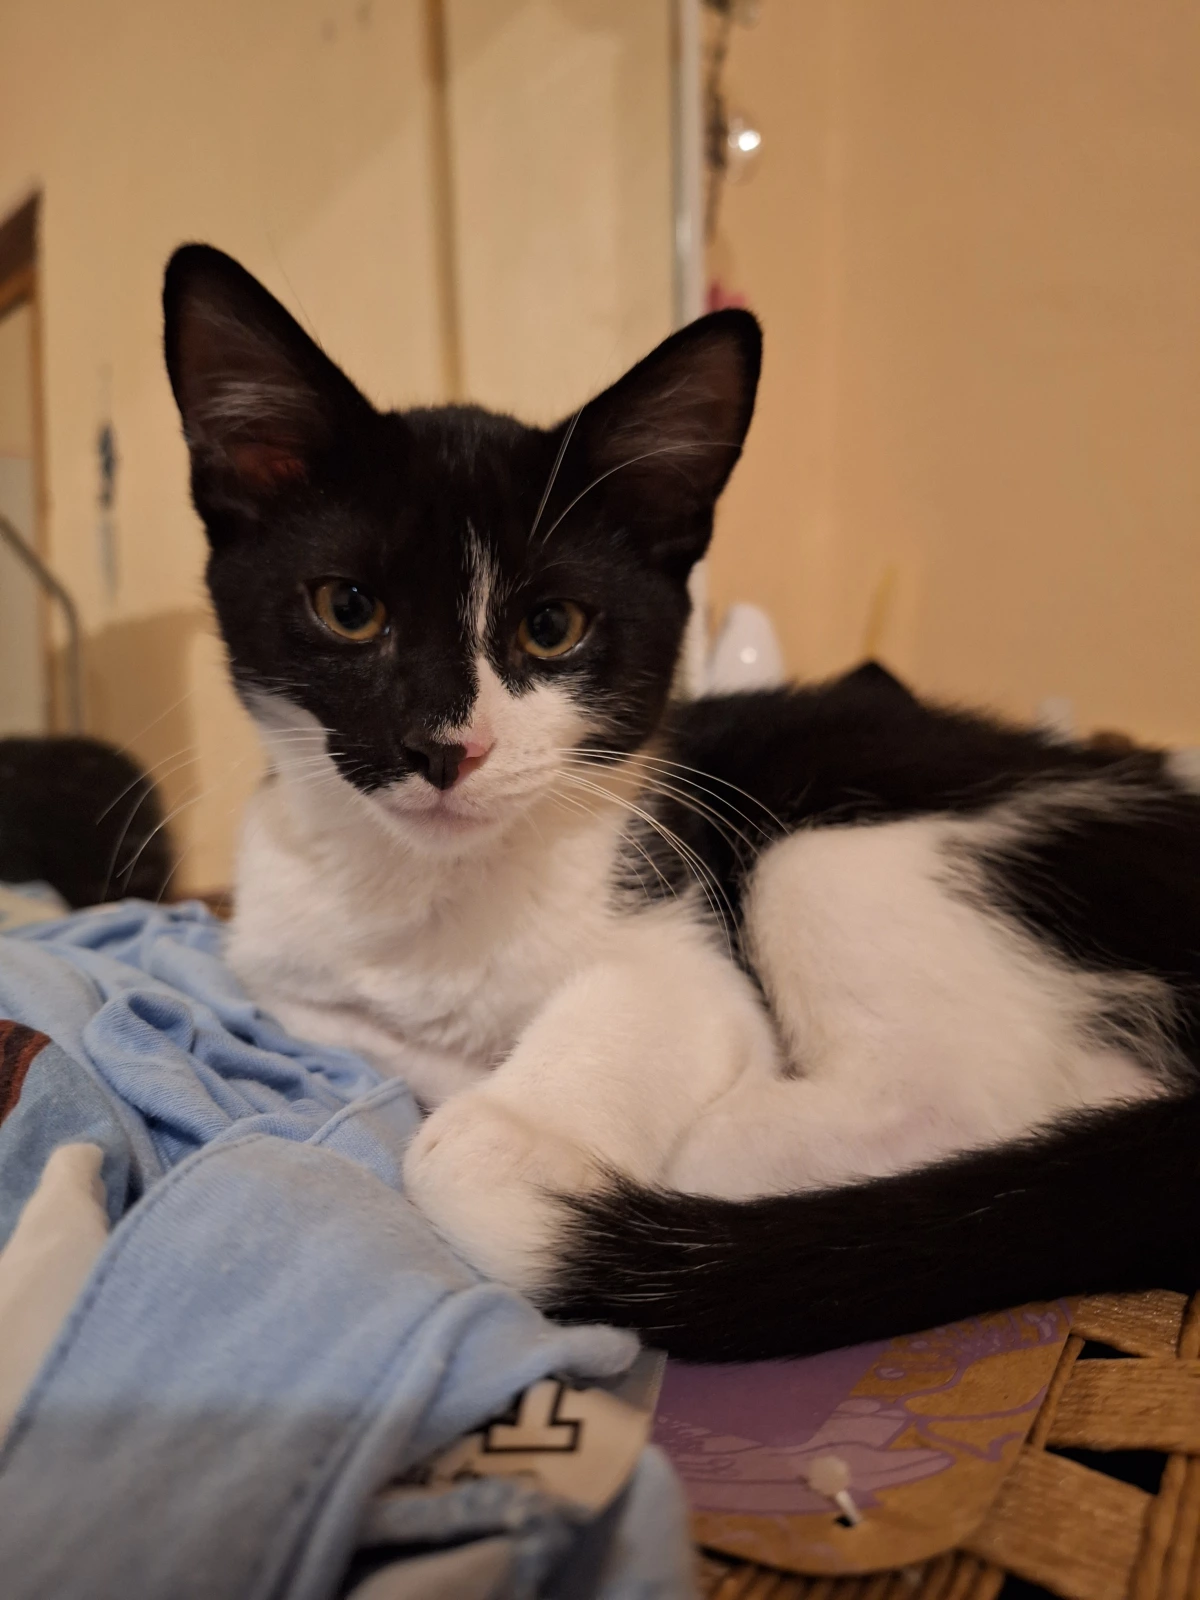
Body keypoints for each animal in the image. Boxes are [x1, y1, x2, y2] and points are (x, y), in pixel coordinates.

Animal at [163, 244, 1200, 1361]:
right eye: (348, 608)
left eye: (552, 627)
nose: (444, 746)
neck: (437, 893)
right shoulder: (276, 954)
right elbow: (322, 1015)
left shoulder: (683, 944)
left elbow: (603, 1046)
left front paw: (508, 1121)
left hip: (833, 852)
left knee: (956, 1099)